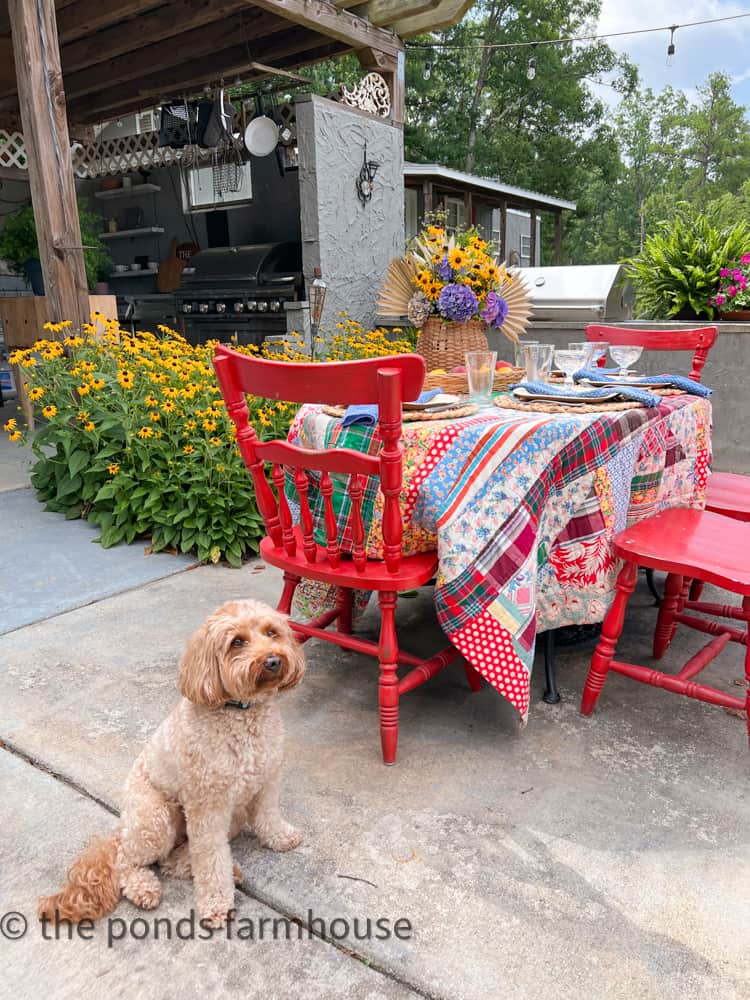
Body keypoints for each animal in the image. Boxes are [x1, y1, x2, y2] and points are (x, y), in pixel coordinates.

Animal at [38, 596, 306, 924]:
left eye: (272, 633)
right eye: (237, 642)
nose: (273, 660)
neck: (242, 713)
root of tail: (122, 827)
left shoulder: (266, 783)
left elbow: (268, 818)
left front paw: (281, 838)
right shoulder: (207, 806)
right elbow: (210, 859)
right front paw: (216, 903)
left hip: (232, 815)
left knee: (171, 861)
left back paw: (225, 870)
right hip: (155, 818)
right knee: (128, 860)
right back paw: (144, 887)